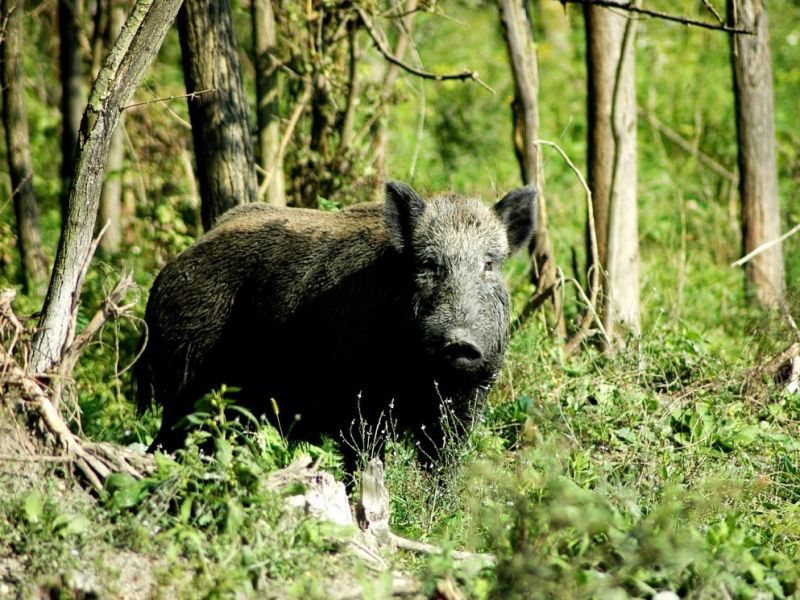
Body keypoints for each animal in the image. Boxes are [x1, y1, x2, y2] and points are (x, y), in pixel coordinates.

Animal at [135, 181, 537, 462]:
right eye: (428, 264)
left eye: (489, 264)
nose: (460, 341)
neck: (420, 373)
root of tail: (163, 277)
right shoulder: (359, 402)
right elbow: (364, 459)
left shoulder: (469, 397)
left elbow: (442, 464)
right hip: (185, 377)